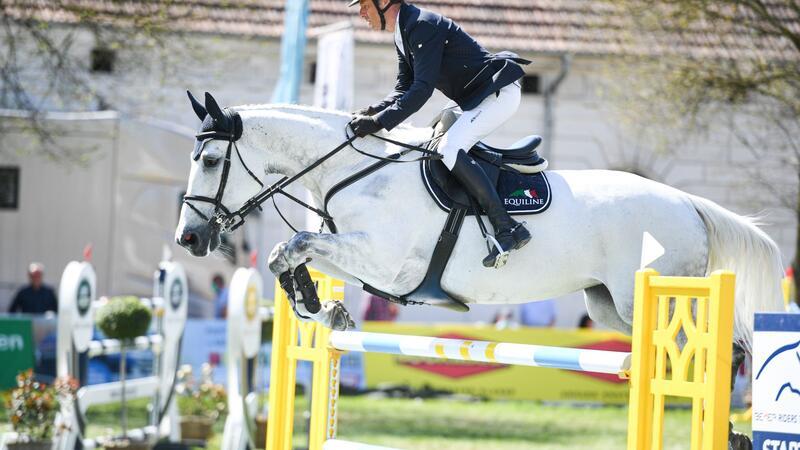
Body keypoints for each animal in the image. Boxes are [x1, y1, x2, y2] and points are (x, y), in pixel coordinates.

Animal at [173, 93, 780, 356]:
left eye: (210, 160)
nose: (189, 239)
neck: (353, 170)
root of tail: (688, 202)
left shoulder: (388, 265)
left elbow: (297, 242)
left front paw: (319, 305)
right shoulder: (359, 256)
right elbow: (290, 252)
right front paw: (322, 308)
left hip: (661, 298)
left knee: (716, 351)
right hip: (610, 307)